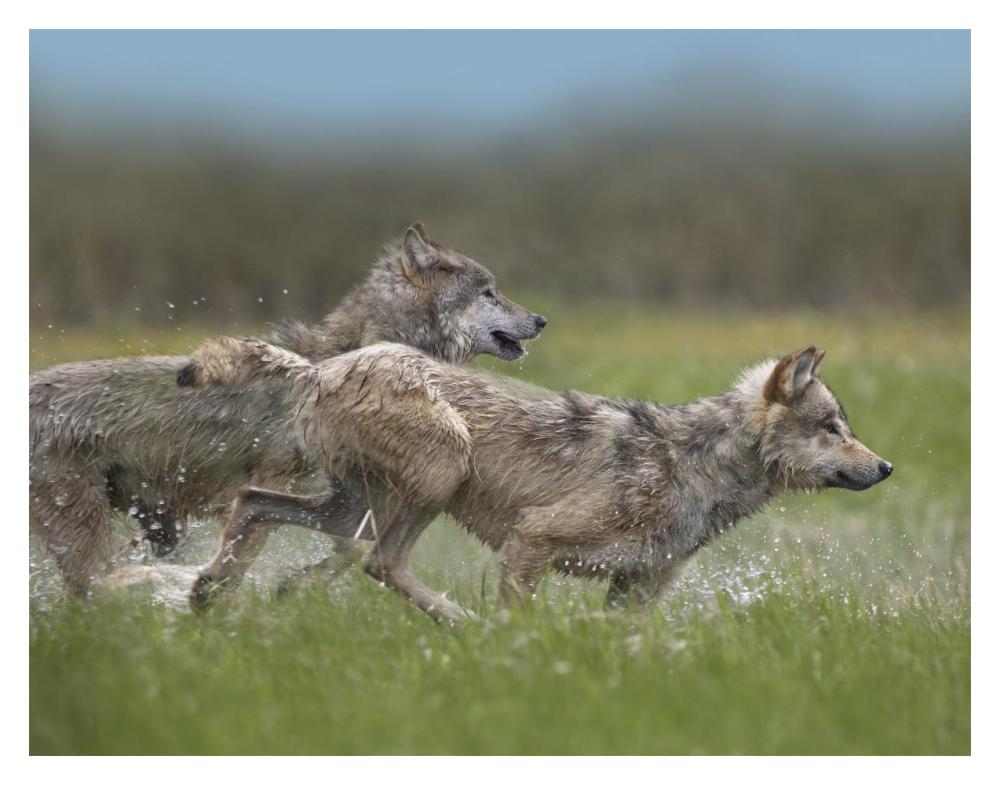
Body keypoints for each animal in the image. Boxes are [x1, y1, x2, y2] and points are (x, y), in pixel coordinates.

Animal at [29, 223, 546, 593]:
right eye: (489, 292)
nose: (541, 319)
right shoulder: (286, 486)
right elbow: (259, 551)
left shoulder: (344, 497)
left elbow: (342, 551)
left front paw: (286, 588)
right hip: (91, 532)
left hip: (155, 522)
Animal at [179, 338, 893, 621]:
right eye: (833, 428)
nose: (887, 467)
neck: (697, 468)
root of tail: (322, 366)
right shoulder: (533, 540)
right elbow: (520, 624)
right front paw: (513, 663)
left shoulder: (635, 592)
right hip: (438, 475)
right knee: (379, 563)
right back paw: (464, 625)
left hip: (354, 511)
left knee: (253, 504)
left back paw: (209, 595)